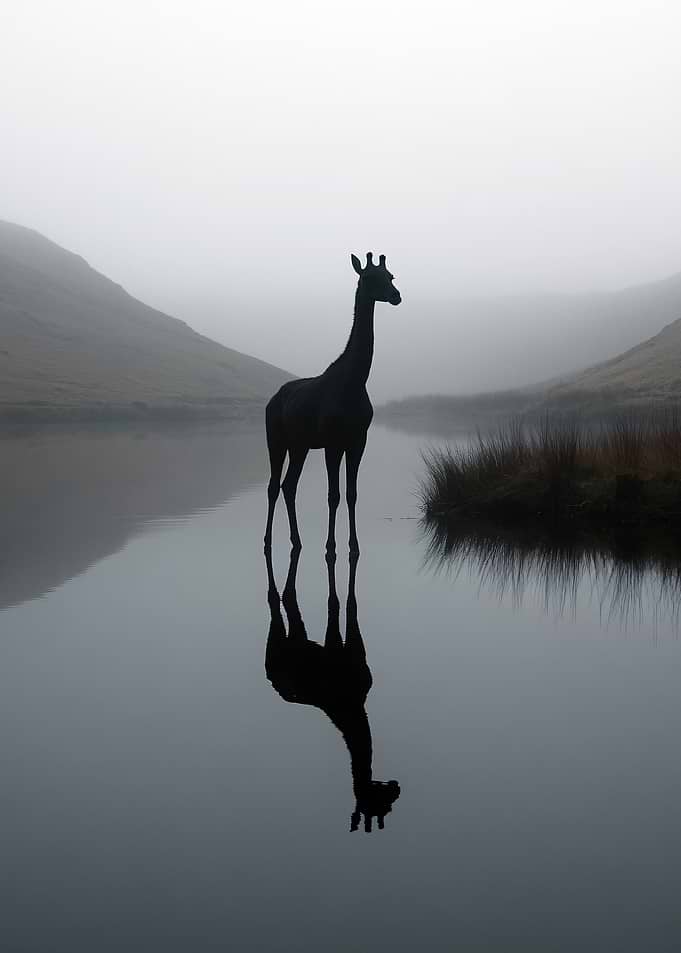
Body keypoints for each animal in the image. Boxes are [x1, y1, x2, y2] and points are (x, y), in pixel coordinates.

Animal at [264, 252, 401, 555]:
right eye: (369, 277)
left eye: (391, 276)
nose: (396, 295)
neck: (356, 380)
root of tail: (271, 400)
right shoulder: (333, 441)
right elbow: (333, 495)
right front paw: (330, 546)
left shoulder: (358, 440)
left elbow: (351, 494)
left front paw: (354, 545)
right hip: (276, 440)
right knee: (273, 486)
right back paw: (267, 541)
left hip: (300, 445)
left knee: (289, 485)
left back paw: (297, 539)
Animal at [265, 547, 401, 832]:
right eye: (380, 804)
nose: (397, 788)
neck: (351, 706)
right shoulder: (335, 642)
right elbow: (339, 604)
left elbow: (348, 602)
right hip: (279, 640)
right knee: (275, 601)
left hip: (297, 637)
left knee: (290, 604)